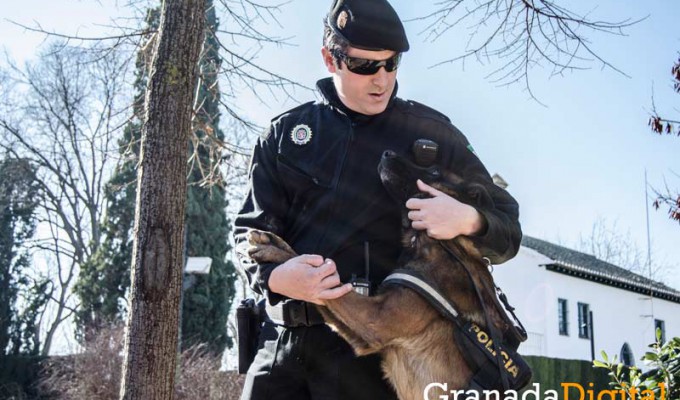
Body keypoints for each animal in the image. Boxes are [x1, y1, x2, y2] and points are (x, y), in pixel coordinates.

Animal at [247, 149, 528, 400]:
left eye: (434, 171)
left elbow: (330, 287)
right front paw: (277, 246)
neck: (443, 243)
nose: (387, 152)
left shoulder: (375, 319)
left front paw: (278, 254)